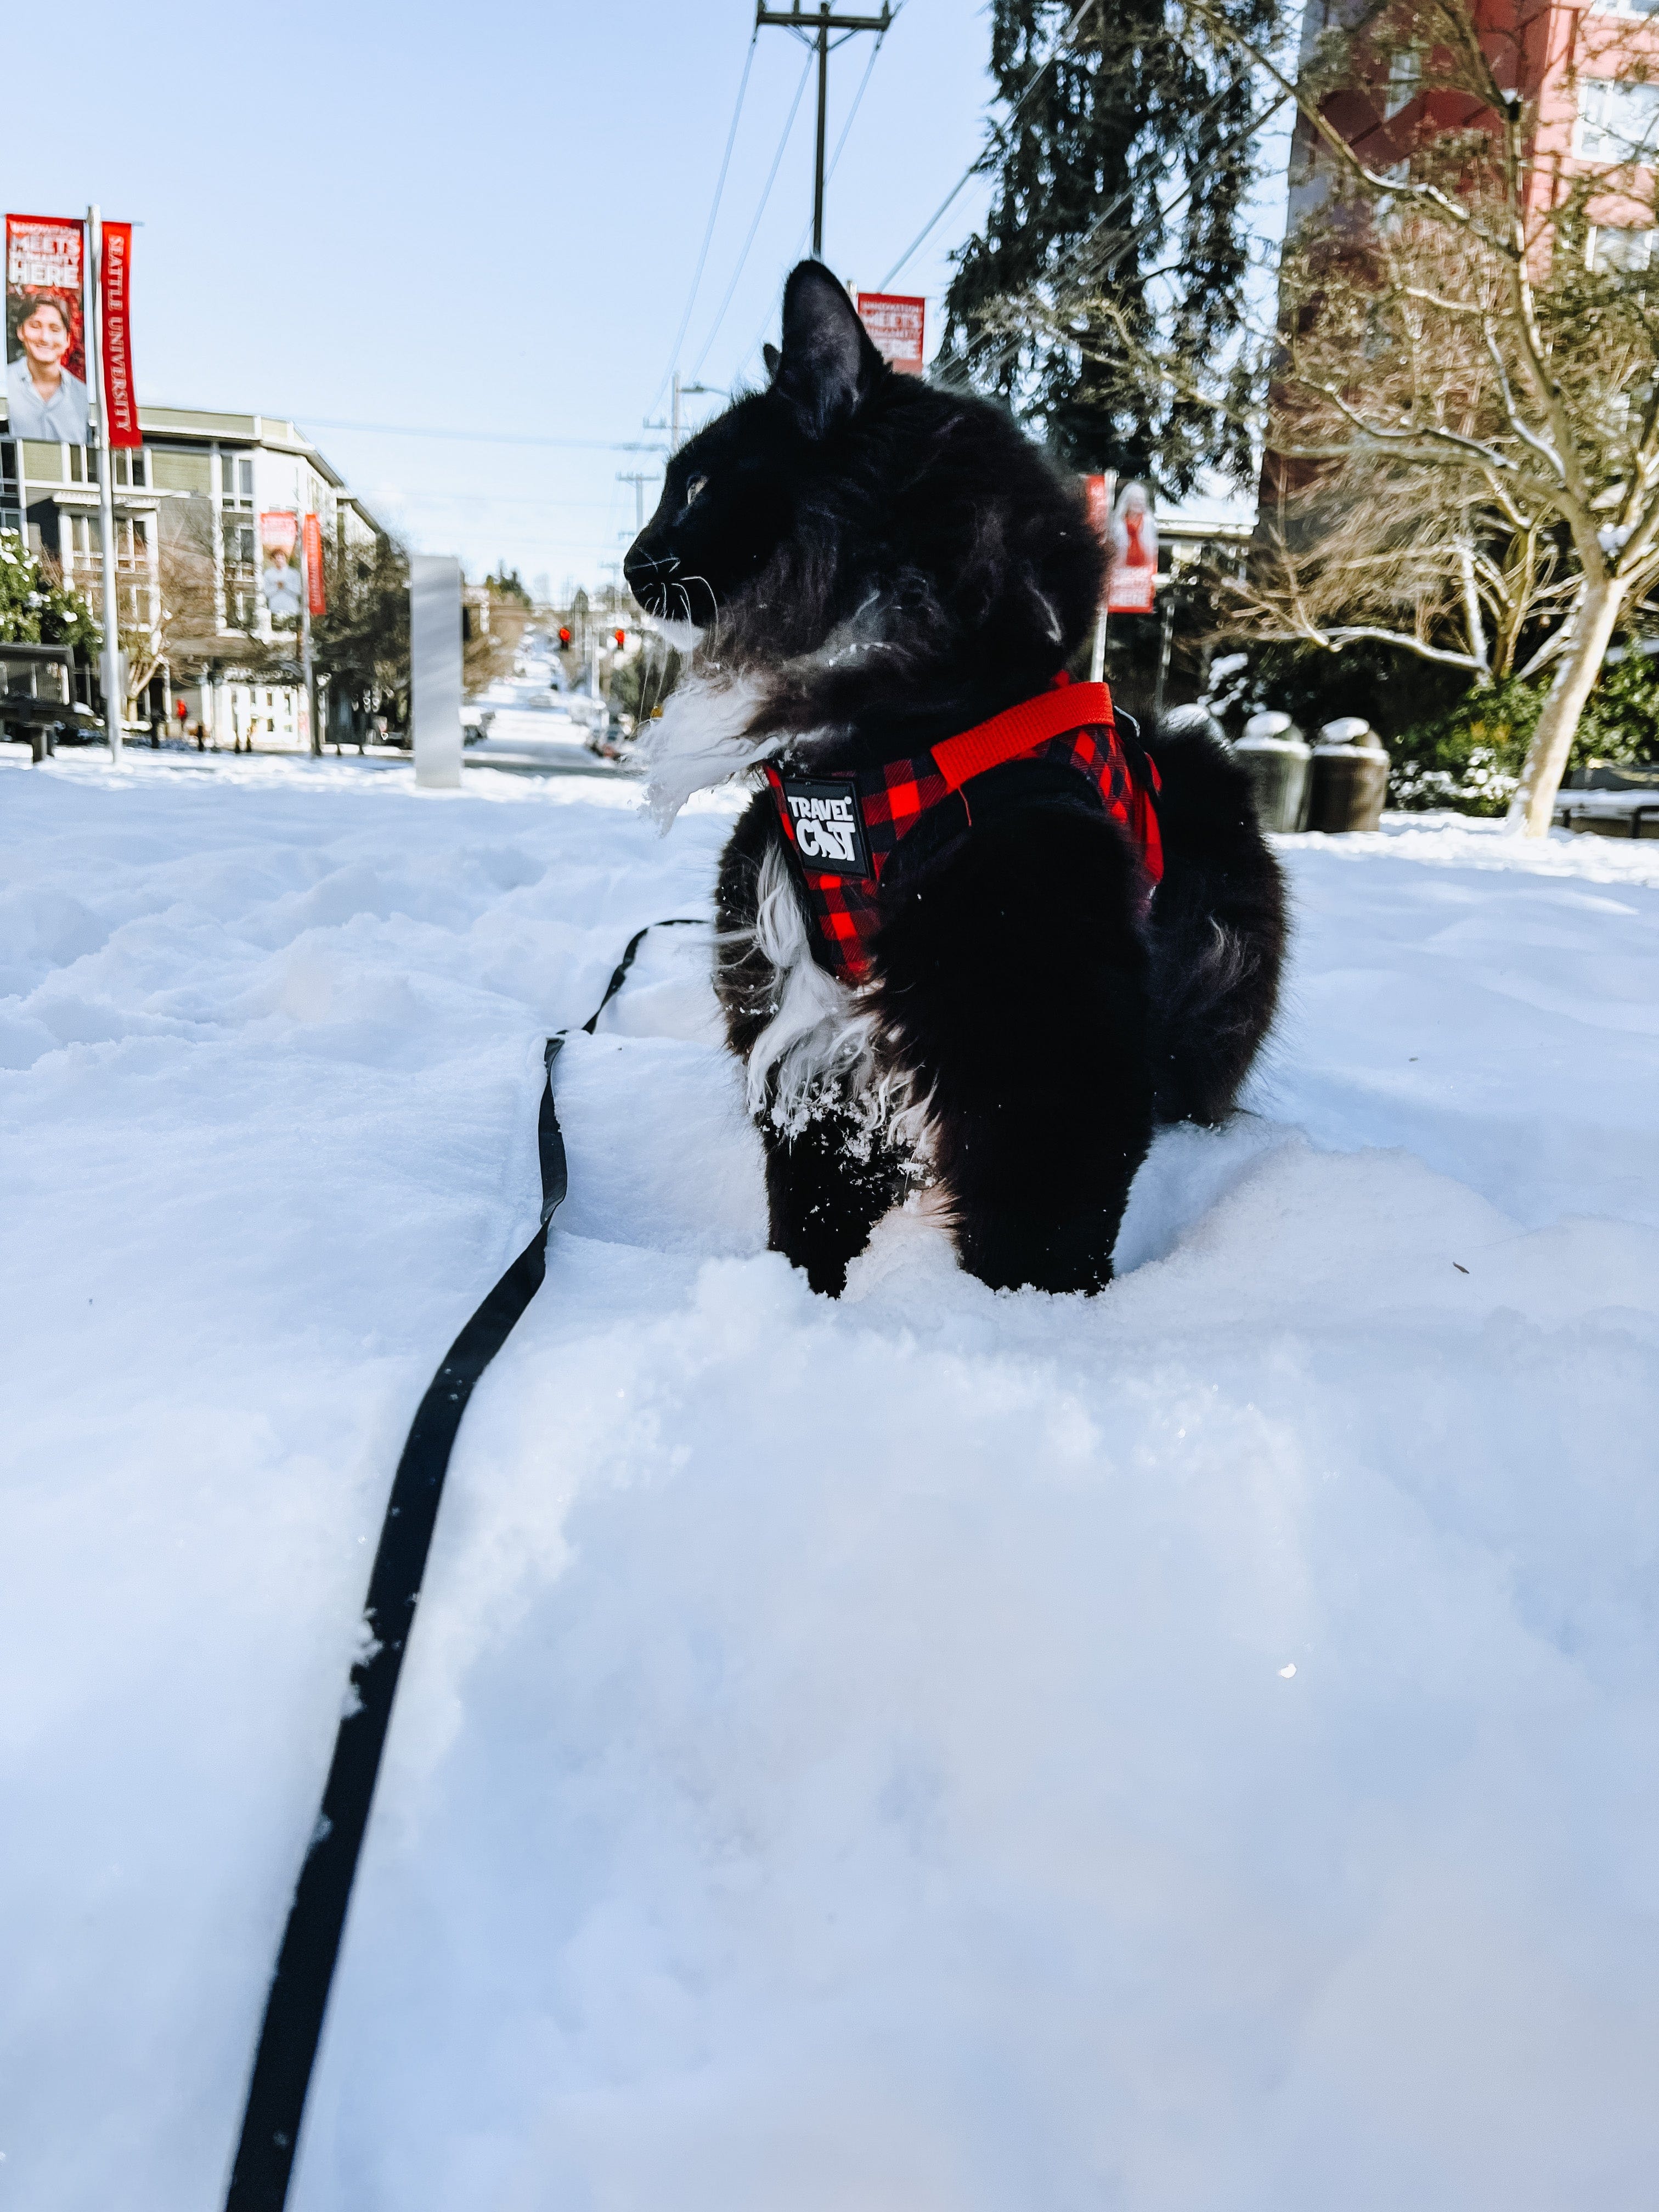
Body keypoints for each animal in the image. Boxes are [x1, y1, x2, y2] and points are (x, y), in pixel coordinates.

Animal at [624, 263, 1283, 1291]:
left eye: (694, 485)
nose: (631, 562)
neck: (883, 748)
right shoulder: (804, 1021)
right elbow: (811, 1207)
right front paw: (809, 1300)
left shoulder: (1048, 1031)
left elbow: (1038, 1225)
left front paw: (1016, 1322)